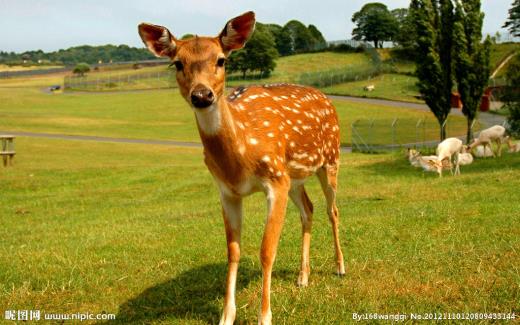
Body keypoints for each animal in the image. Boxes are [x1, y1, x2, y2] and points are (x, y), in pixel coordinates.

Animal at [138, 10, 346, 324]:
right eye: (178, 63)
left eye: (221, 60)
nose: (202, 95)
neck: (240, 159)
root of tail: (327, 98)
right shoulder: (228, 191)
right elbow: (233, 251)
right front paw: (226, 315)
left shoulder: (274, 180)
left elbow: (266, 250)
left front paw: (265, 316)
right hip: (294, 176)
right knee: (308, 209)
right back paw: (303, 277)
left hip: (330, 159)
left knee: (332, 209)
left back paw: (340, 267)